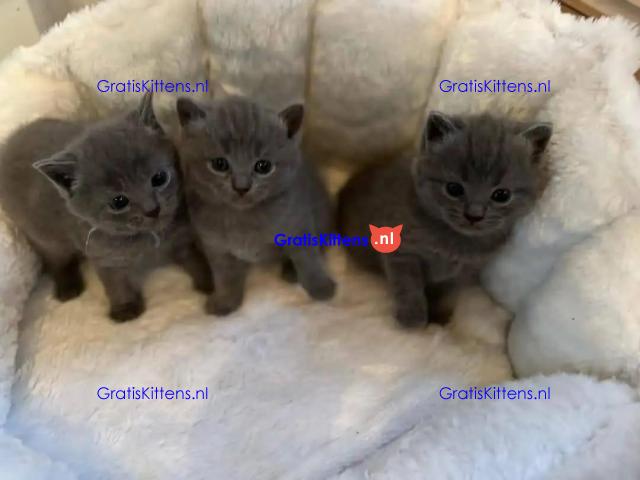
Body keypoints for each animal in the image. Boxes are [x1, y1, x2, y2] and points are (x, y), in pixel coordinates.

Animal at [0, 92, 211, 322]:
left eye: (159, 178)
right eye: (118, 202)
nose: (152, 209)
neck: (146, 239)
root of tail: (12, 139)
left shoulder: (182, 237)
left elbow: (195, 259)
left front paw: (210, 282)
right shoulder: (105, 256)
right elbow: (116, 283)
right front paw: (125, 309)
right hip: (44, 235)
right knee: (55, 259)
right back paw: (67, 287)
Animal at [175, 96, 335, 316]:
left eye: (263, 166)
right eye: (219, 164)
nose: (241, 187)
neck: (242, 219)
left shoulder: (298, 224)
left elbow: (308, 259)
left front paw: (321, 287)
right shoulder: (215, 246)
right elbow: (225, 276)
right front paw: (226, 301)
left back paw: (291, 272)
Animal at [338, 111, 552, 328]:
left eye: (502, 195)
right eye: (453, 188)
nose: (474, 214)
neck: (454, 241)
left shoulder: (465, 271)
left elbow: (447, 293)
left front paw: (439, 316)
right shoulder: (402, 251)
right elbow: (407, 283)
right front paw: (412, 317)